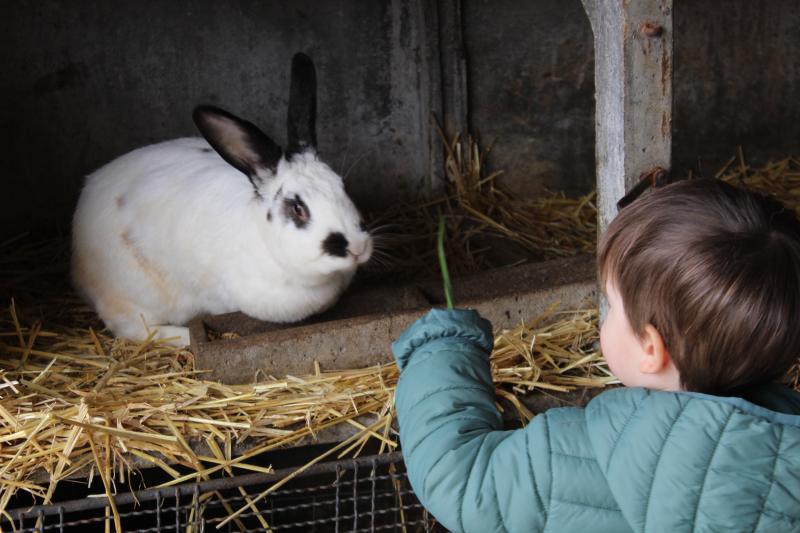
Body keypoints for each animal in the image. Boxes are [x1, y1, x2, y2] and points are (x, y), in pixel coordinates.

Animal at [71, 53, 373, 346]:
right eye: (298, 208)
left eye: (343, 186)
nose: (357, 247)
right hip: (134, 297)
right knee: (135, 330)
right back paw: (184, 337)